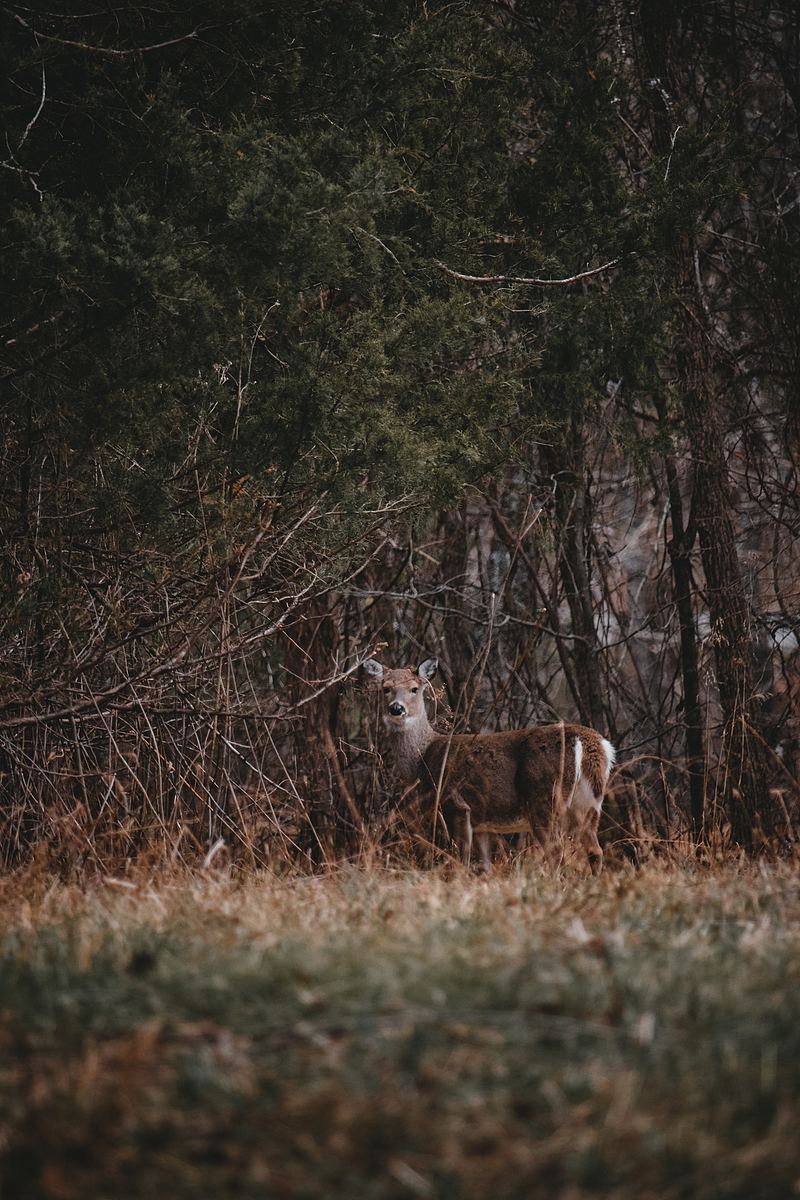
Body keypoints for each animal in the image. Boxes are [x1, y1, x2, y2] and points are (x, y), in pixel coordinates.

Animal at [367, 657, 618, 873]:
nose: (396, 708)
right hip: (589, 804)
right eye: (386, 688)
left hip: (545, 798)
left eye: (414, 689)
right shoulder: (483, 824)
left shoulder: (456, 804)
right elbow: (485, 867)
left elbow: (461, 861)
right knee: (595, 850)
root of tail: (594, 744)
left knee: (556, 852)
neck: (423, 758)